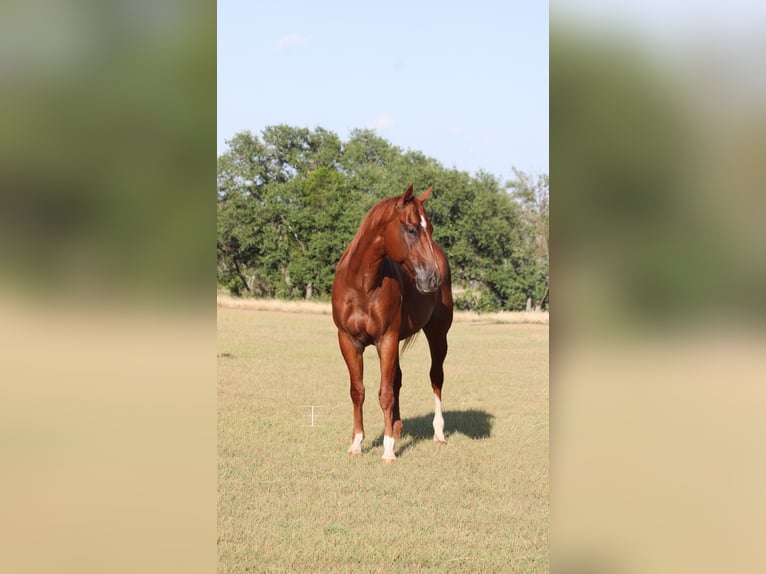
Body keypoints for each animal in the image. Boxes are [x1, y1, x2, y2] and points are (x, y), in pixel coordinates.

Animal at [331, 183, 453, 462]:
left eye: (430, 228)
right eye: (412, 229)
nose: (433, 278)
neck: (362, 285)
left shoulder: (386, 339)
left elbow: (385, 393)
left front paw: (387, 450)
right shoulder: (348, 341)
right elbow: (358, 391)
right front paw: (357, 443)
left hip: (438, 335)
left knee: (436, 377)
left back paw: (438, 433)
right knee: (397, 379)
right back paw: (397, 430)